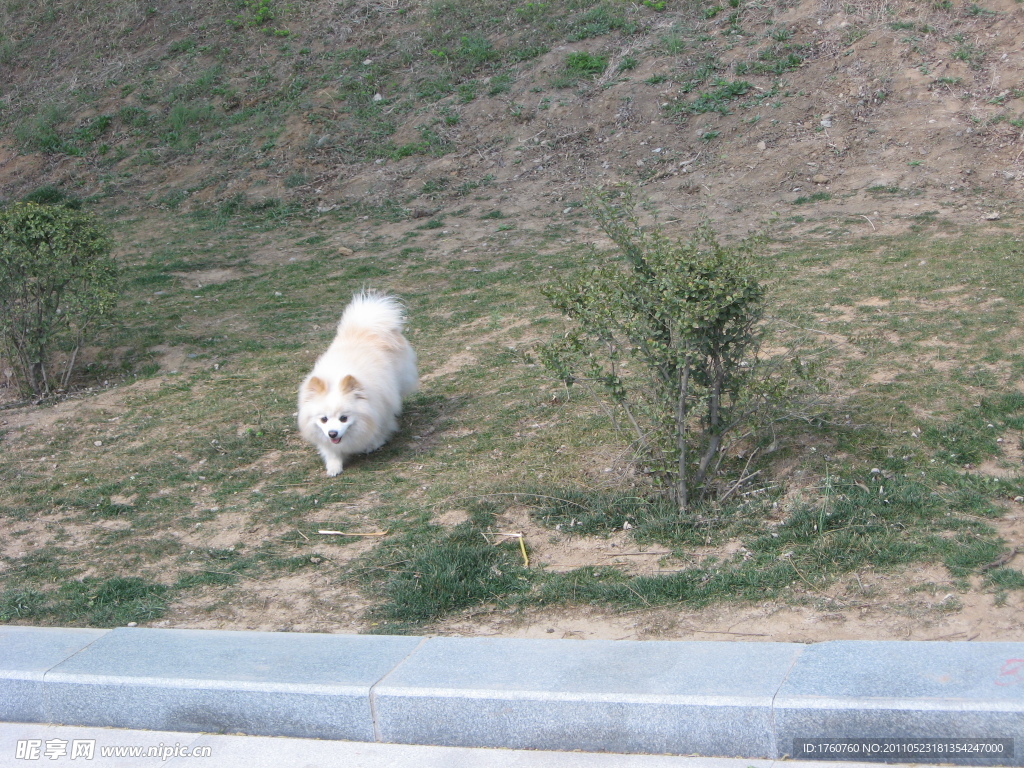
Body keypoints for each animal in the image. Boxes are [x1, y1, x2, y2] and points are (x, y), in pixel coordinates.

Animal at [299, 292, 417, 479]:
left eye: (343, 418)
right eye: (324, 419)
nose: (333, 433)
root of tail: (364, 327)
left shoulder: (382, 406)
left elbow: (382, 426)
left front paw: (374, 443)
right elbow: (330, 450)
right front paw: (334, 465)